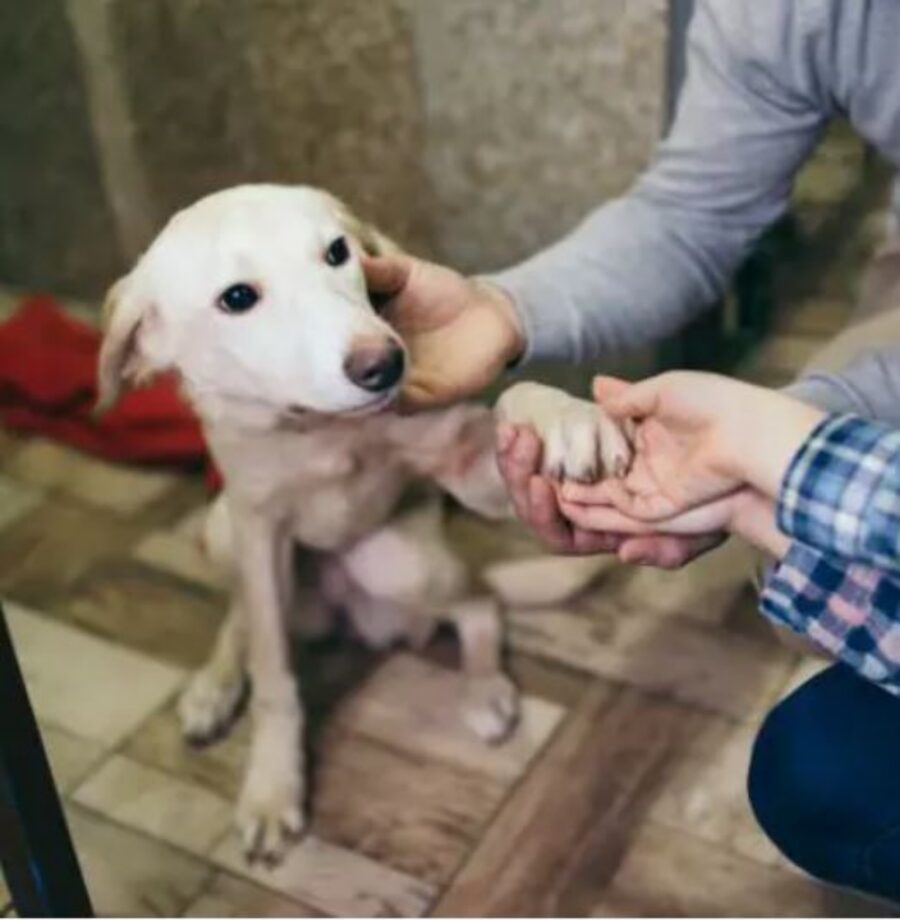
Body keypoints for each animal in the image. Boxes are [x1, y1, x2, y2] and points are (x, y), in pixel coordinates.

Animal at [96, 185, 632, 864]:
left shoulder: (468, 464)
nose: (384, 364)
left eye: (337, 252)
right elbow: (273, 675)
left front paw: (567, 417)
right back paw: (214, 686)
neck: (318, 428)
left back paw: (485, 687)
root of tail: (350, 611)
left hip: (400, 563)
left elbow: (517, 399)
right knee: (243, 615)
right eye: (237, 298)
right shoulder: (257, 527)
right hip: (224, 532)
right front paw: (272, 786)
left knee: (479, 602)